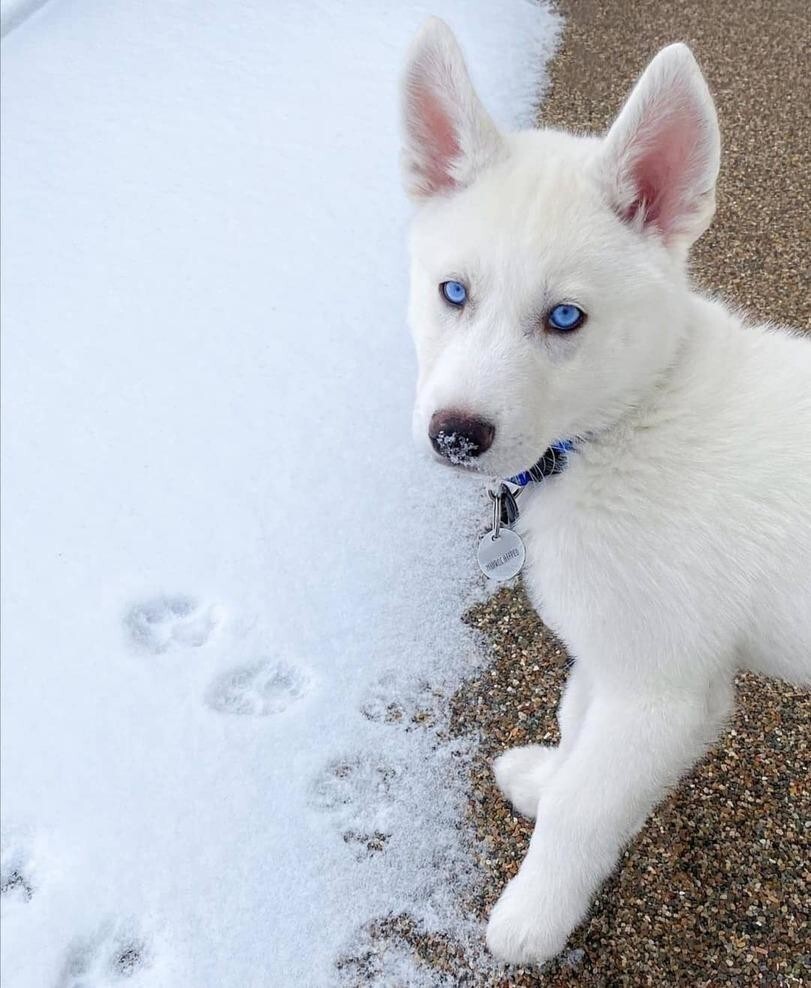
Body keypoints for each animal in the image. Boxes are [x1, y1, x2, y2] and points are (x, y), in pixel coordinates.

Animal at [400, 17, 811, 964]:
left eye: (564, 318)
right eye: (451, 292)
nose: (454, 434)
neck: (626, 422)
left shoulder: (662, 692)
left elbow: (587, 808)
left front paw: (532, 915)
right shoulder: (608, 647)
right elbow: (573, 720)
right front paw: (545, 778)